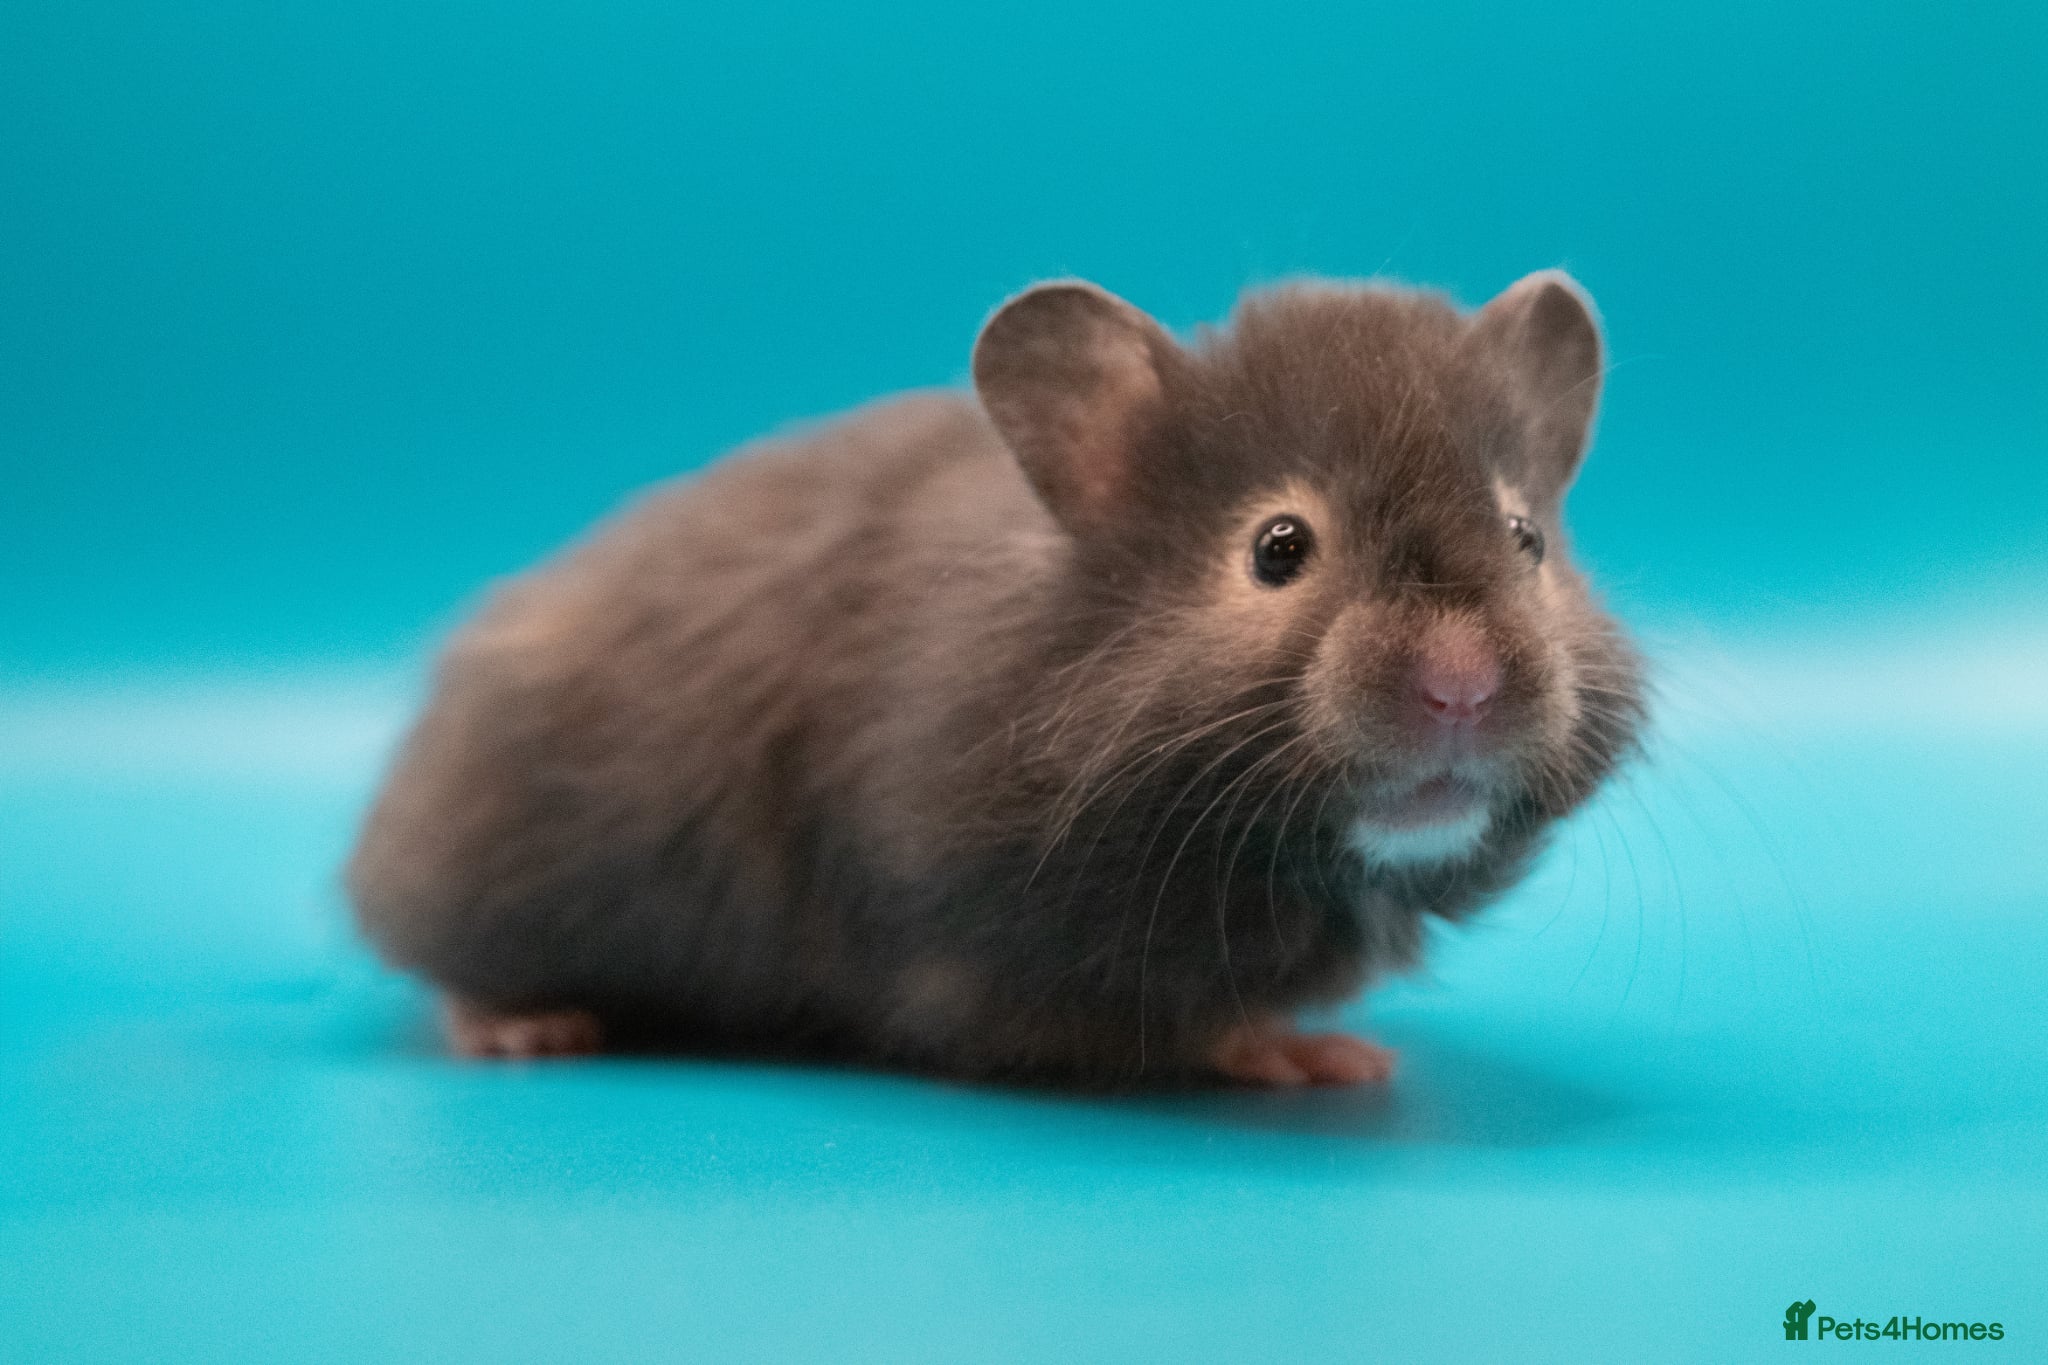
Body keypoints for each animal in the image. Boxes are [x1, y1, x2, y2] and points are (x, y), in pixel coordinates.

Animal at [347, 271, 1645, 1088]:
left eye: (1525, 539)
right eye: (1278, 549)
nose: (1459, 689)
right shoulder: (974, 951)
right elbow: (1172, 1028)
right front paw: (1328, 1060)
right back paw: (529, 1031)